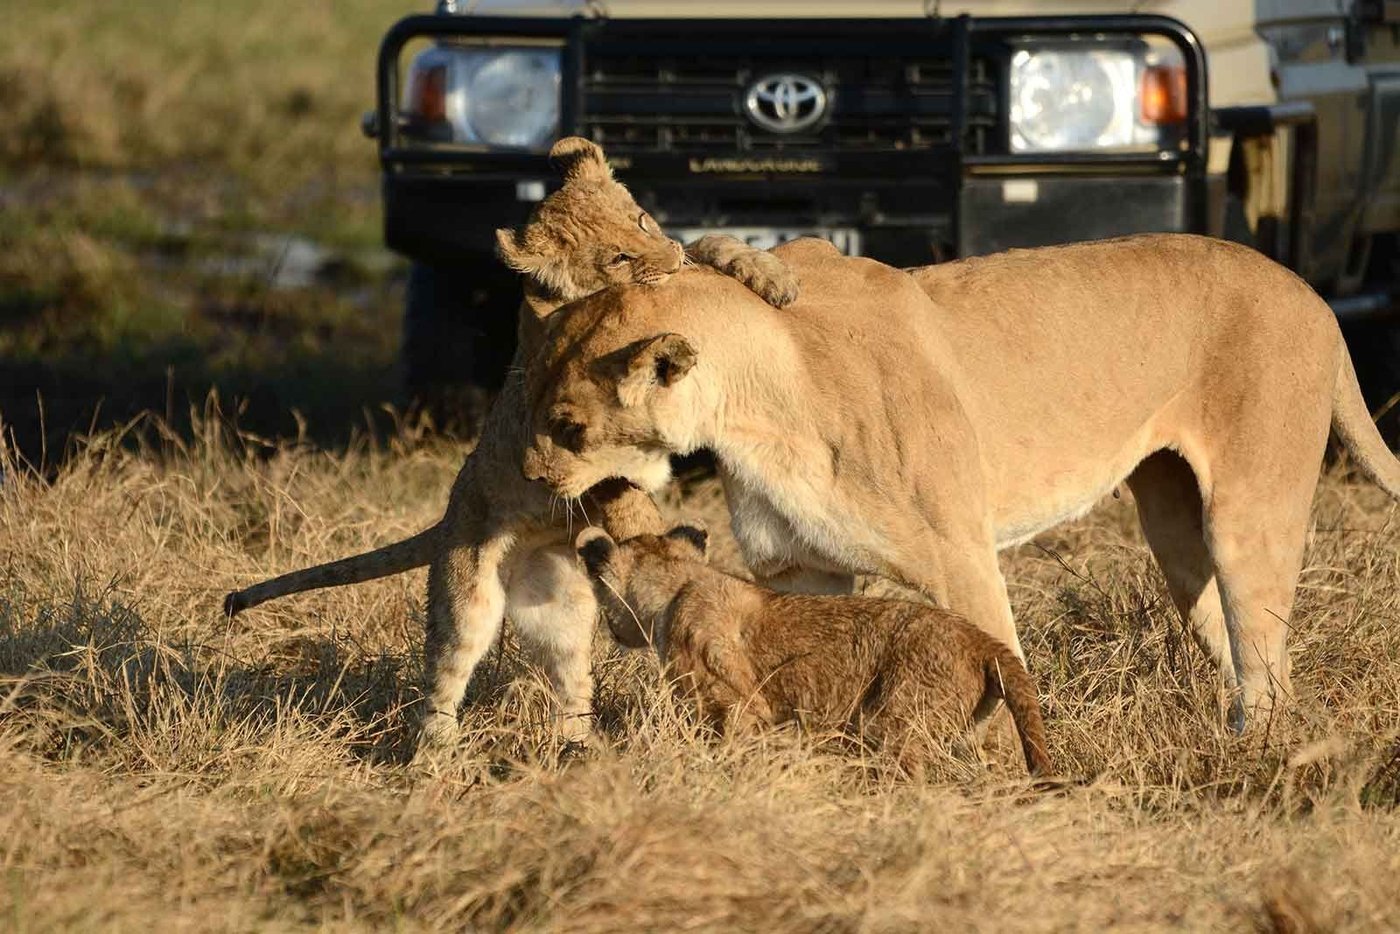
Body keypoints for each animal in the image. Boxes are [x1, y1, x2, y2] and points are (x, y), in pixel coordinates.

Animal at [223, 137, 798, 749]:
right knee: (449, 668)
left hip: (562, 610)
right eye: (617, 258)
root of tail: (448, 518)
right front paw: (655, 535)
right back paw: (438, 749)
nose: (668, 259)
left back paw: (581, 744)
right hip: (468, 594)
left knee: (571, 678)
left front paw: (770, 276)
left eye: (643, 219)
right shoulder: (552, 421)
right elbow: (615, 483)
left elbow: (711, 242)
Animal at [520, 234, 1400, 733]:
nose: (529, 476)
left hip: (1249, 512)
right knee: (1234, 638)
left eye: (568, 426)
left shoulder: (961, 556)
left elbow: (1005, 682)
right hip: (1177, 533)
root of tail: (1314, 296)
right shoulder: (801, 568)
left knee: (1268, 659)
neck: (753, 404)